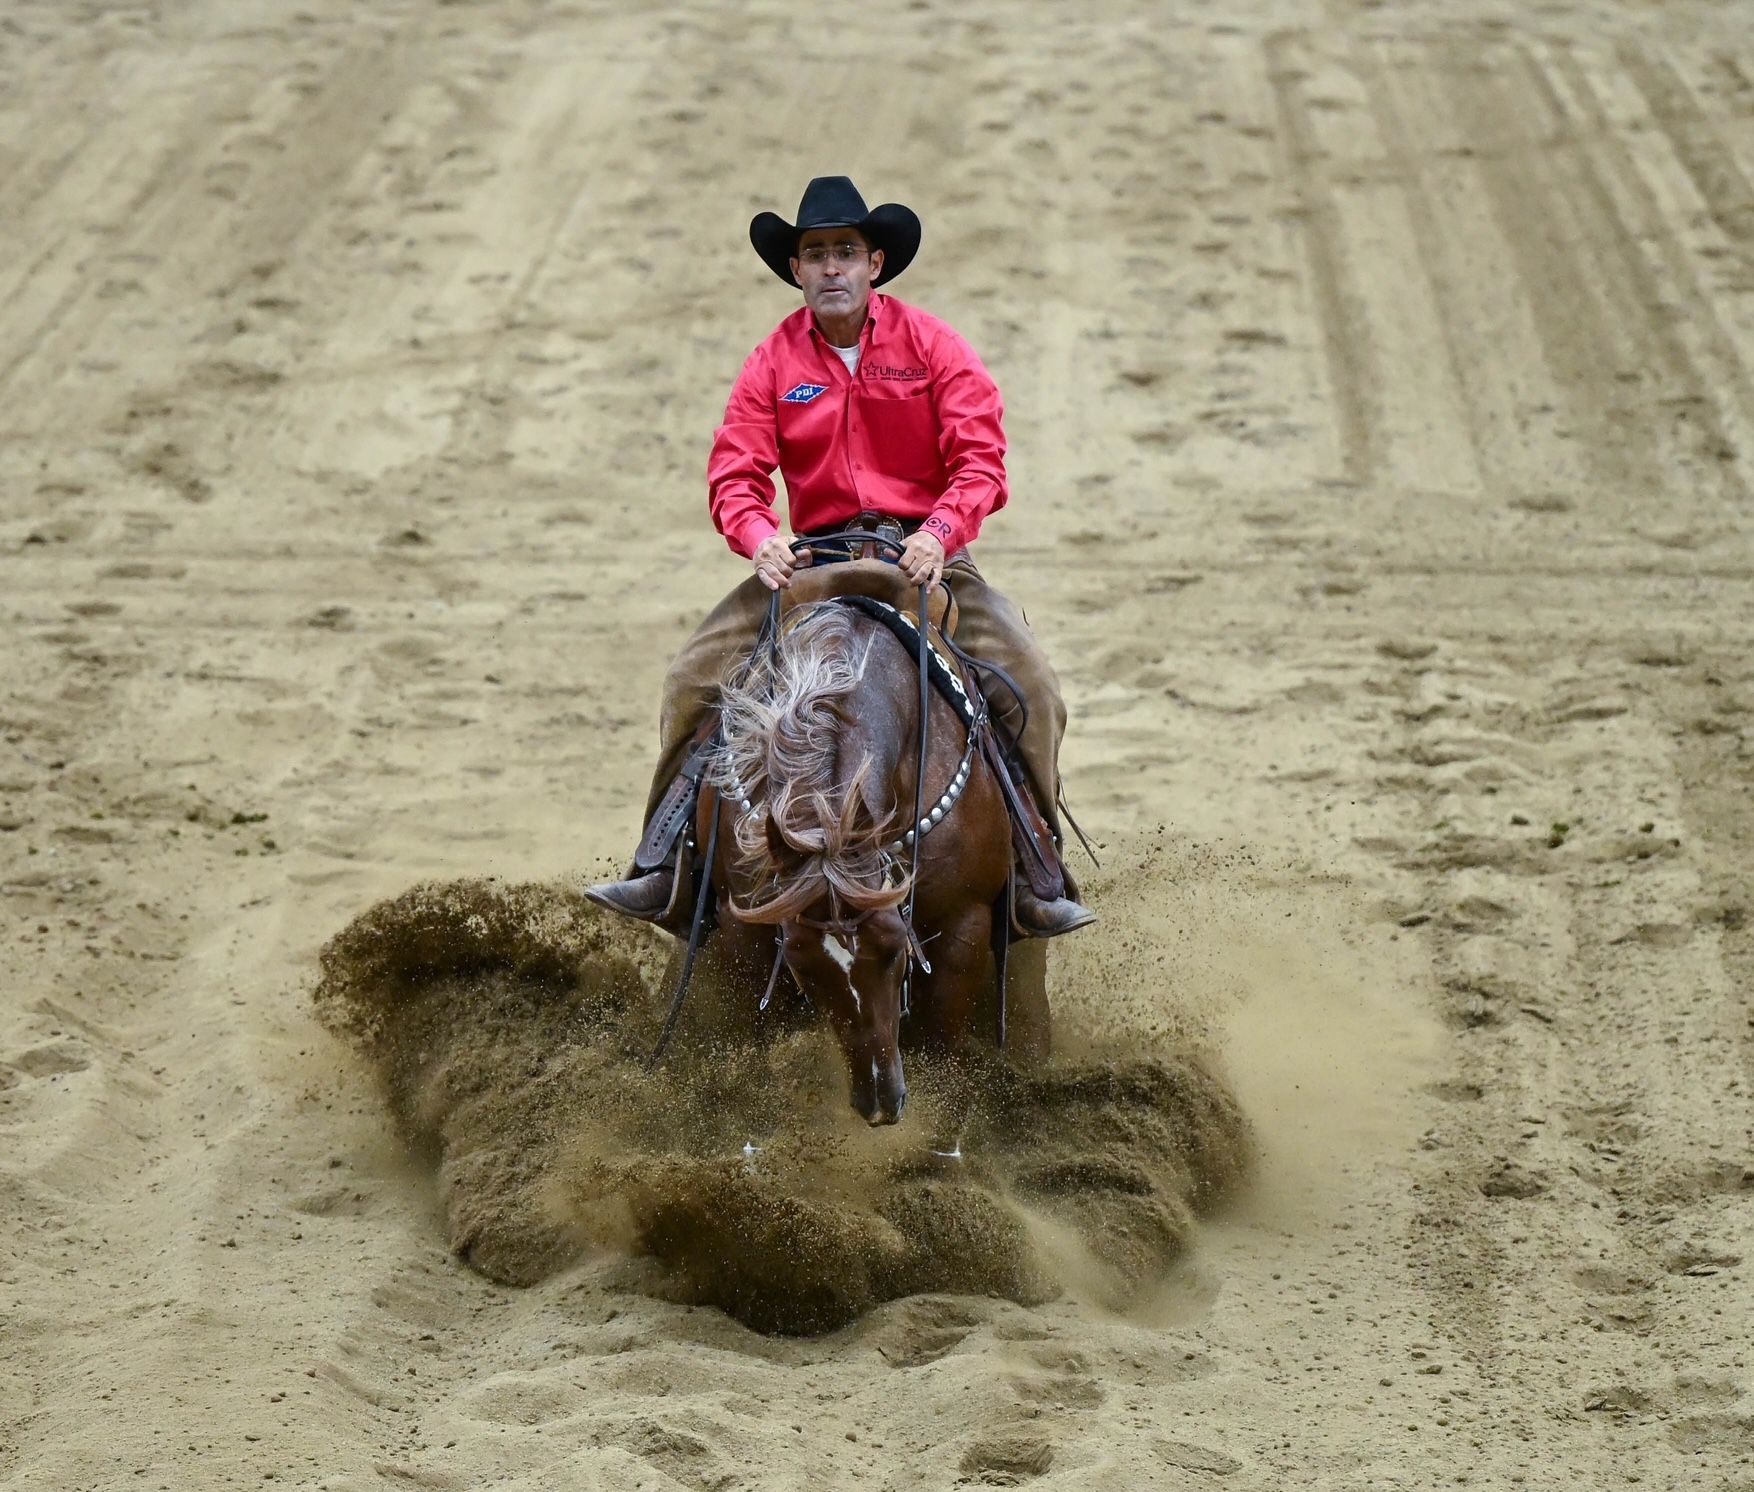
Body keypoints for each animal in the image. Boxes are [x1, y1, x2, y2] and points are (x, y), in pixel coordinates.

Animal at [656, 544, 1049, 1126]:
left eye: (893, 951)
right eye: (803, 965)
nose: (880, 1101)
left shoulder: (965, 928)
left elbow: (946, 1052)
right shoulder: (742, 930)